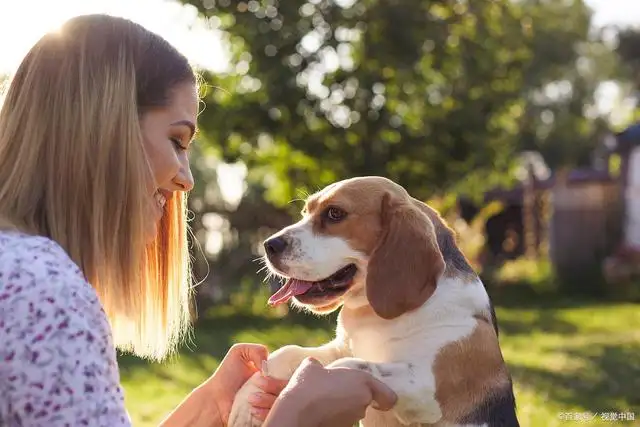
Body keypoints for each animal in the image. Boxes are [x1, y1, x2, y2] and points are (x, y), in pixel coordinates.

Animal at [230, 176, 520, 427]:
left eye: (335, 214)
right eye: (305, 212)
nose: (268, 245)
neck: (375, 319)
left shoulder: (428, 389)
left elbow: (352, 367)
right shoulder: (342, 347)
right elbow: (285, 354)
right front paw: (246, 404)